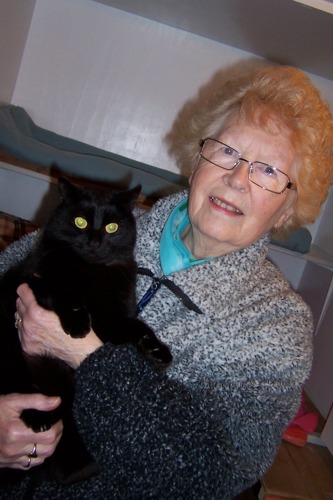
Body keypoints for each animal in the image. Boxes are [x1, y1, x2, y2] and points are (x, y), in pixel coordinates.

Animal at [0, 176, 171, 484]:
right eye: (80, 222)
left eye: (112, 227)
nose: (94, 242)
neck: (91, 272)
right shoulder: (34, 278)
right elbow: (62, 290)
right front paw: (78, 322)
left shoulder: (113, 317)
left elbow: (136, 326)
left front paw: (156, 351)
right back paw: (37, 417)